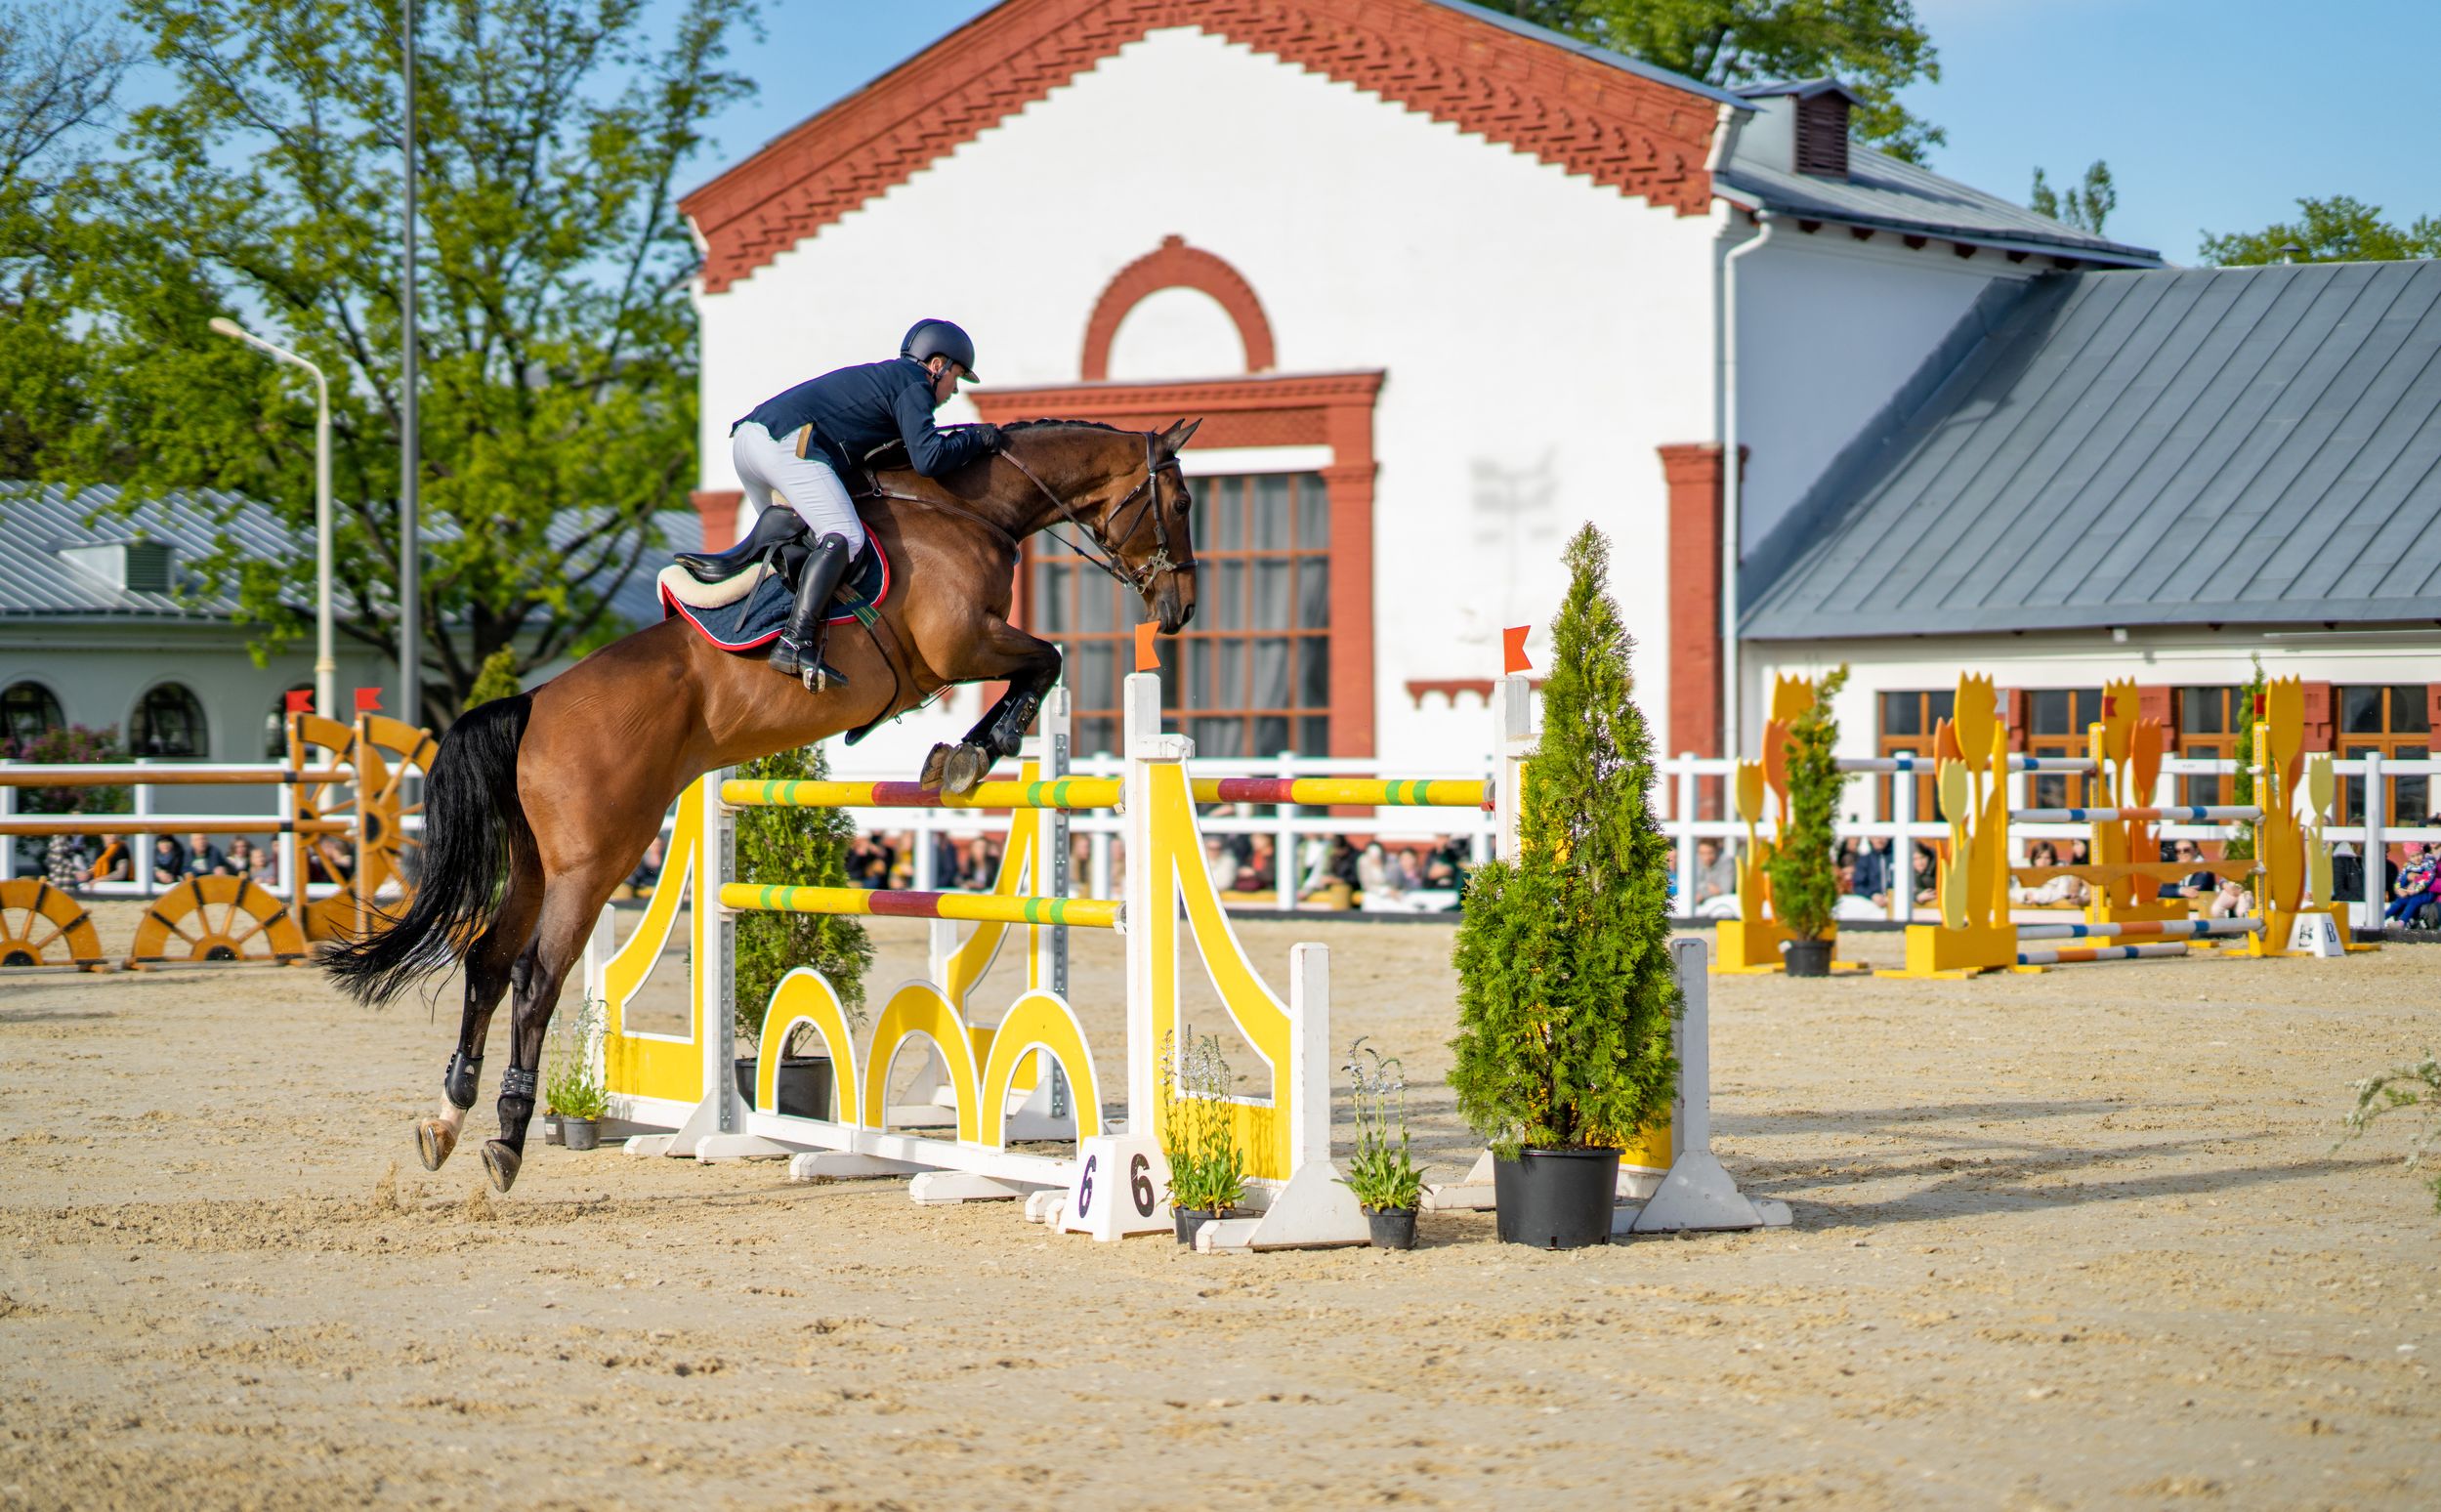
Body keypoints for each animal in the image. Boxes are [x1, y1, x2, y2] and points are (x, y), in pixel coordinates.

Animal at [324, 417, 1200, 1197]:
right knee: (536, 977)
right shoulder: (963, 644)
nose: (1180, 611)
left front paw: (958, 755)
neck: (965, 508)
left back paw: (446, 1121)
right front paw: (968, 756)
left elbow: (1039, 666)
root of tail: (534, 703)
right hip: (595, 860)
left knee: (486, 964)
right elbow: (1045, 660)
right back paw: (506, 1138)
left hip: (536, 863)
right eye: (1183, 500)